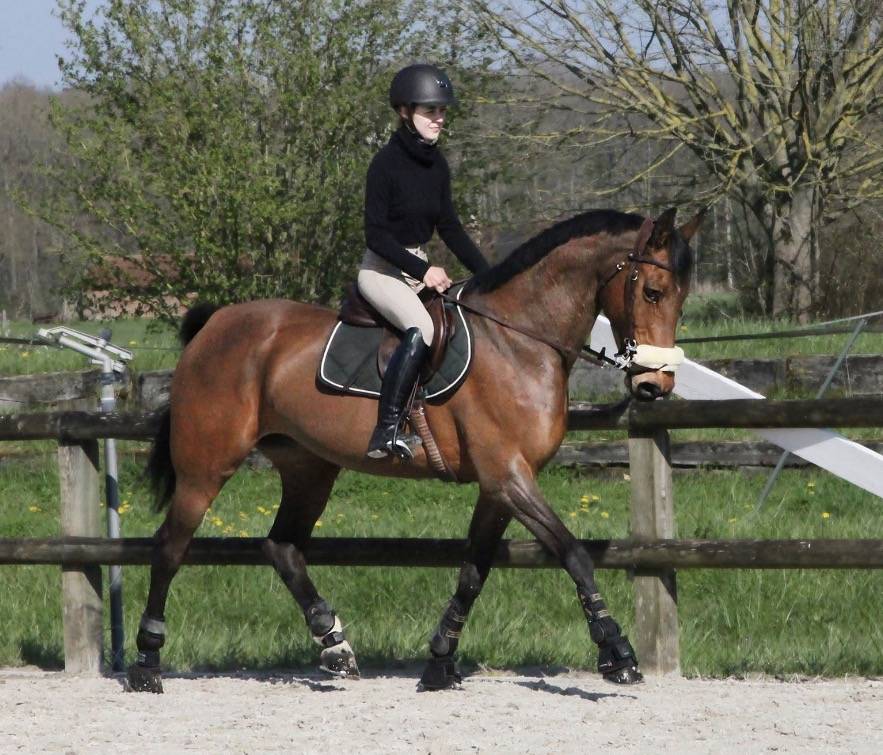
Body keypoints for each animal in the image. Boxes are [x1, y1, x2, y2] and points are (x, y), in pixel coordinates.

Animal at [127, 206, 701, 693]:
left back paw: (334, 644)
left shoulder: (498, 486)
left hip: (308, 467)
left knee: (282, 547)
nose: (654, 386)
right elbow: (573, 553)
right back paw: (146, 664)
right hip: (206, 468)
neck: (519, 340)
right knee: (170, 548)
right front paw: (617, 653)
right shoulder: (508, 476)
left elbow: (473, 572)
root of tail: (214, 324)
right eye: (652, 292)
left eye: (680, 298)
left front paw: (440, 661)